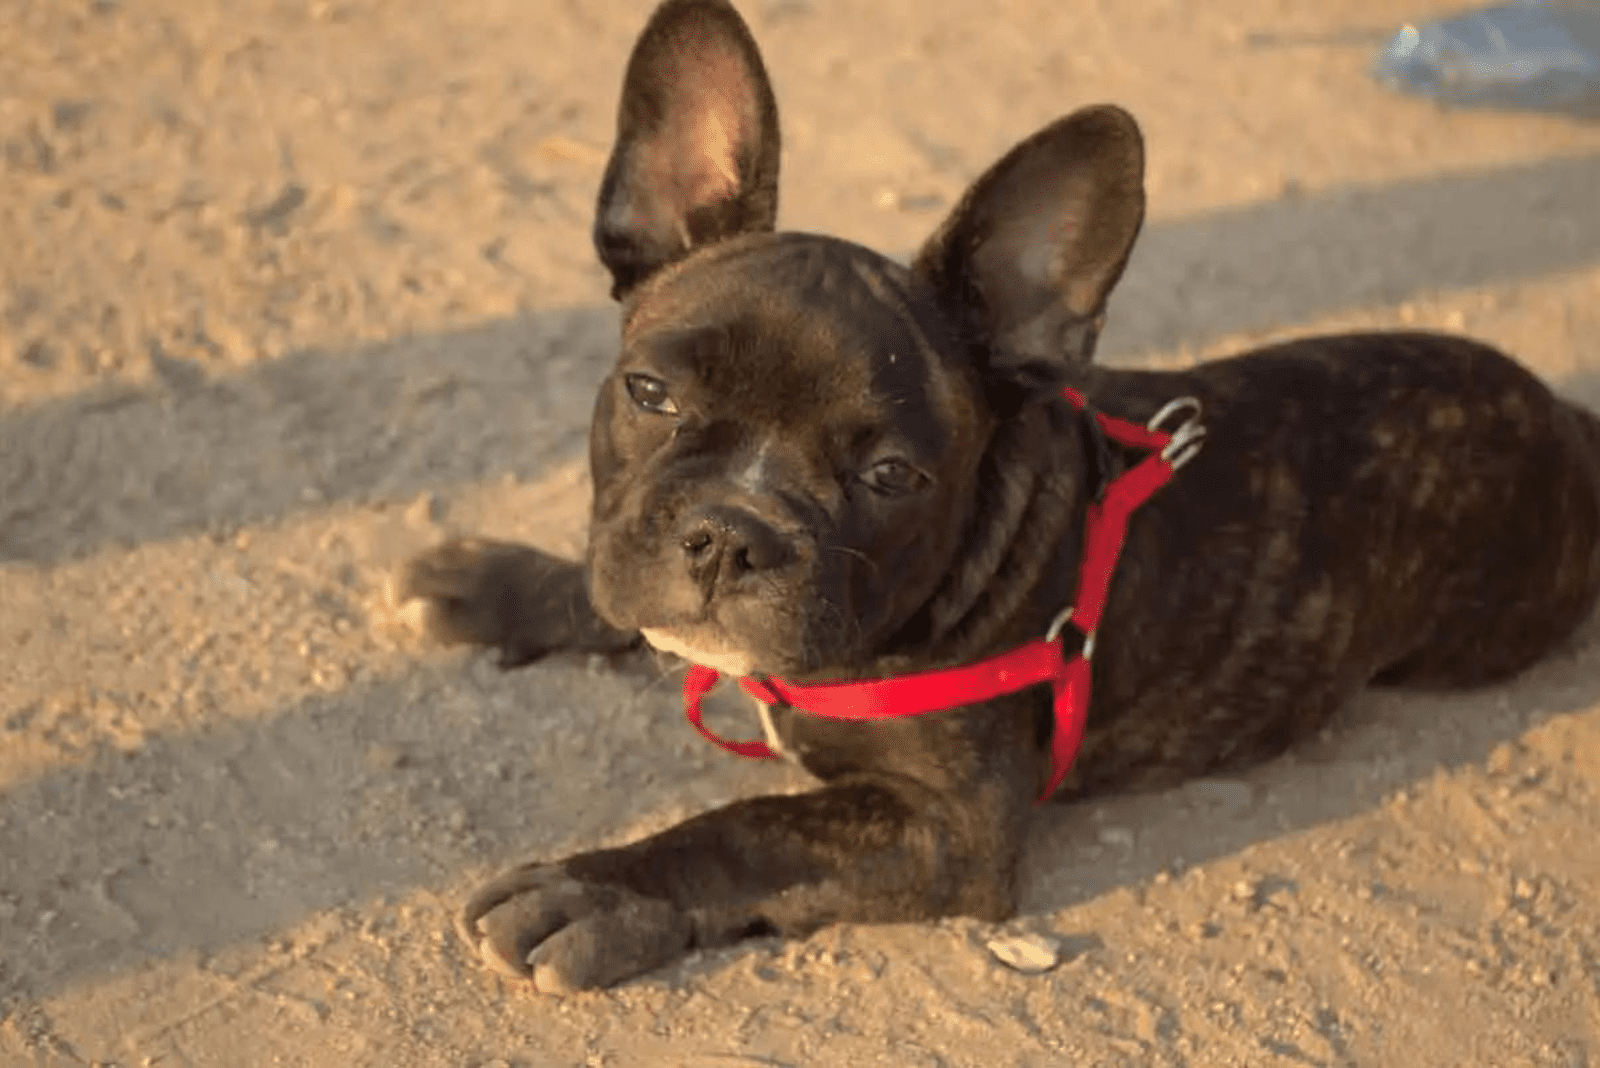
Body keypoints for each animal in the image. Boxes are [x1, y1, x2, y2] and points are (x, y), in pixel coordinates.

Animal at [393, 0, 1600, 991]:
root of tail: (1563, 417)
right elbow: (615, 591)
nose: (731, 535)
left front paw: (599, 890)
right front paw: (505, 583)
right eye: (650, 394)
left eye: (892, 477)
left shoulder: (947, 828)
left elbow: (750, 826)